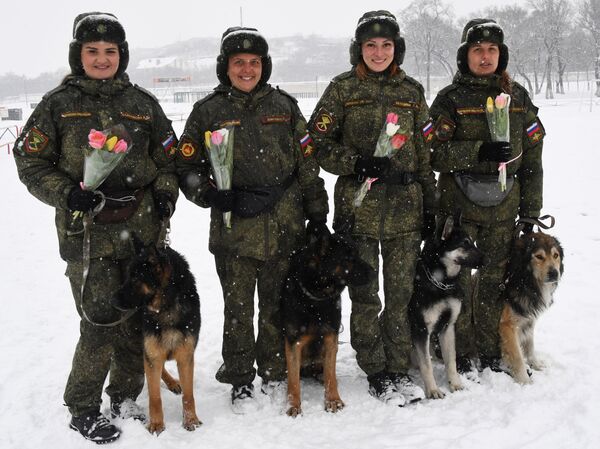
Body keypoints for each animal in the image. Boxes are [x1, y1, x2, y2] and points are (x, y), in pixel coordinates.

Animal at [113, 236, 203, 432]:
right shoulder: (152, 352)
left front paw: (190, 420)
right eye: (127, 275)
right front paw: (156, 424)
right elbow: (154, 397)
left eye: (135, 278)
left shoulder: (185, 356)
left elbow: (189, 394)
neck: (166, 307)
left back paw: (173, 383)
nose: (111, 300)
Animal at [282, 228, 370, 416]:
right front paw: (293, 405)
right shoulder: (294, 342)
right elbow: (293, 380)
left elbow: (331, 374)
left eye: (358, 254)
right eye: (348, 258)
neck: (317, 298)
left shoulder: (331, 338)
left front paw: (333, 400)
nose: (374, 273)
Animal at [408, 214, 488, 400]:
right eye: (464, 244)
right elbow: (426, 365)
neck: (441, 283)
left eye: (472, 242)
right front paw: (433, 390)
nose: (487, 259)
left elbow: (451, 360)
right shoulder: (421, 329)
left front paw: (455, 384)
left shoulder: (448, 326)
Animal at [500, 231, 564, 382]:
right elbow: (517, 357)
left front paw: (535, 364)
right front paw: (525, 381)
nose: (554, 273)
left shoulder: (529, 318)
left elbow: (530, 344)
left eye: (555, 255)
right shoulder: (506, 325)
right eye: (539, 257)